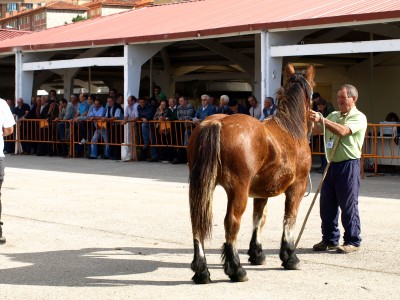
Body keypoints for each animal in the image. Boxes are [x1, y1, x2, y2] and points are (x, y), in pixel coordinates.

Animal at [188, 63, 316, 284]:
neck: (290, 128)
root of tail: (216, 123)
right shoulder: (296, 187)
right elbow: (289, 218)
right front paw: (290, 256)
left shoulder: (261, 191)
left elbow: (259, 218)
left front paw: (256, 253)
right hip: (238, 190)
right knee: (231, 222)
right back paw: (236, 269)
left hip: (201, 187)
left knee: (197, 220)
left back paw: (202, 271)